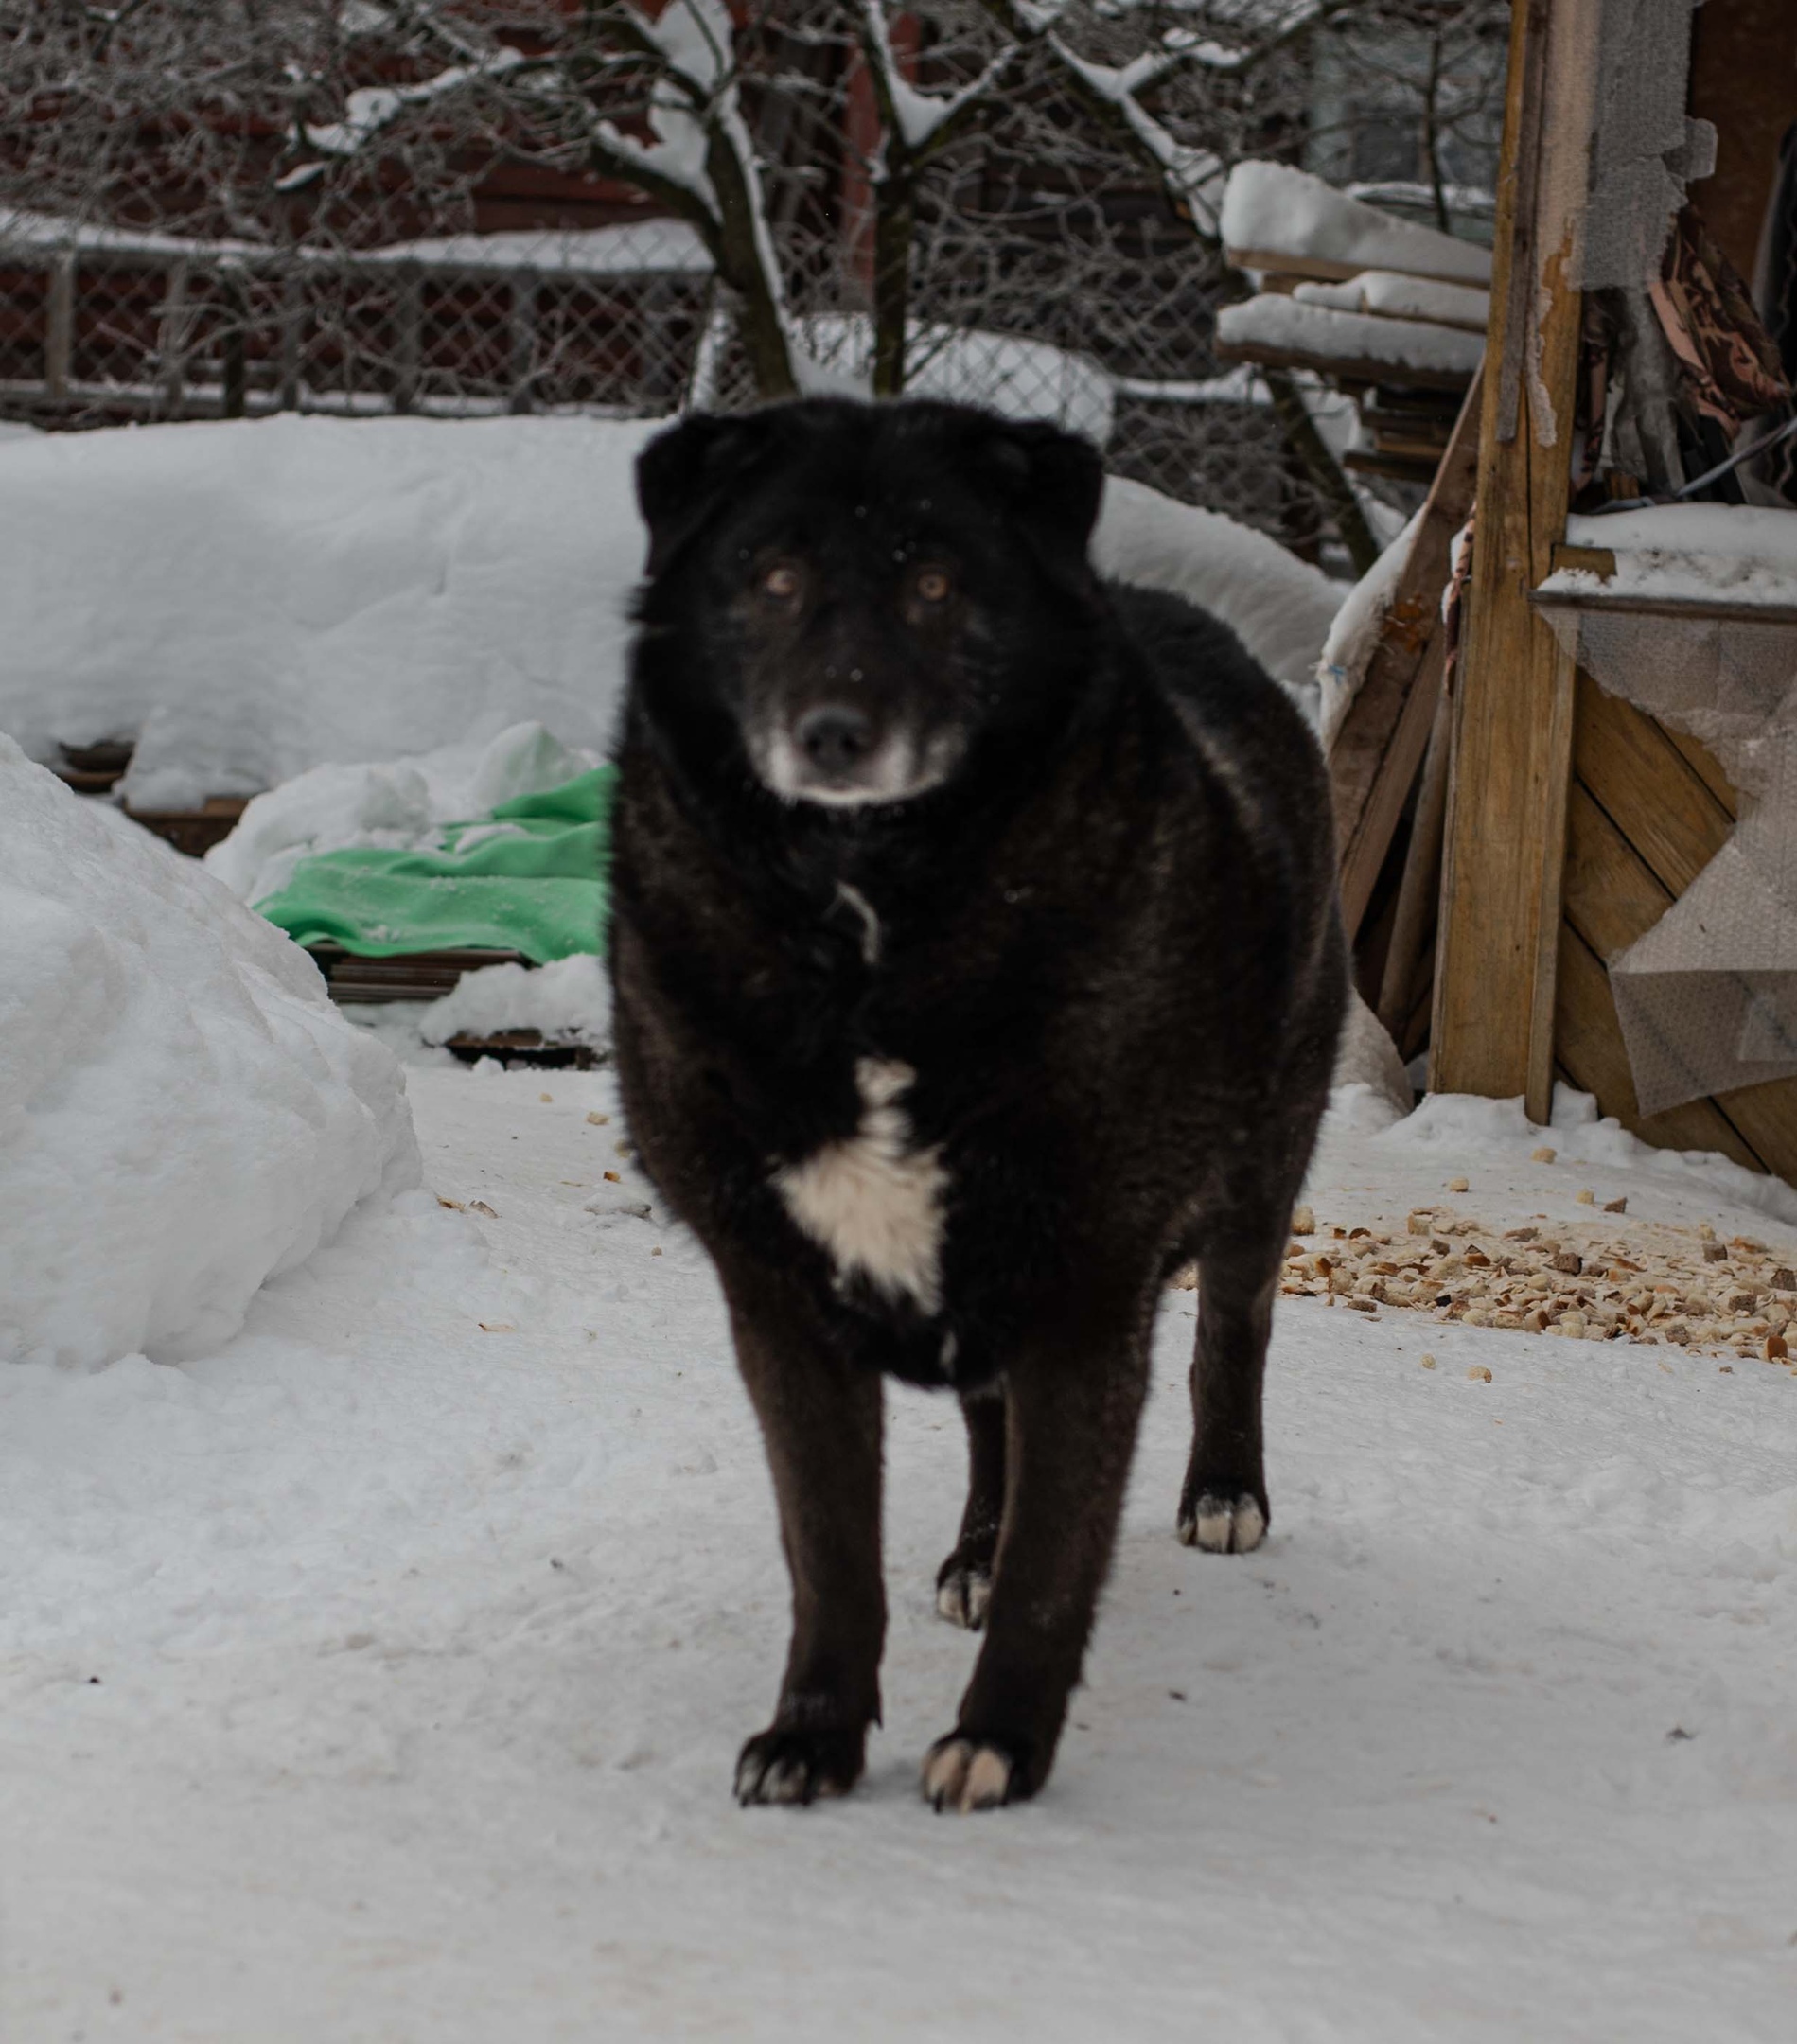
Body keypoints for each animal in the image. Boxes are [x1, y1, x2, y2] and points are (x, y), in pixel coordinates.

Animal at [613, 406, 1341, 1815]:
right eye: (772, 576)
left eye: (937, 584)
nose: (834, 730)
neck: (870, 936)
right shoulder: (780, 1305)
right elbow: (829, 1554)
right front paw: (813, 1738)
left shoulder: (1087, 1295)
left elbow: (1055, 1576)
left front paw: (998, 1745)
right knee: (988, 1425)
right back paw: (971, 1549)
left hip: (1259, 1170)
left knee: (1235, 1329)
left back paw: (1224, 1489)